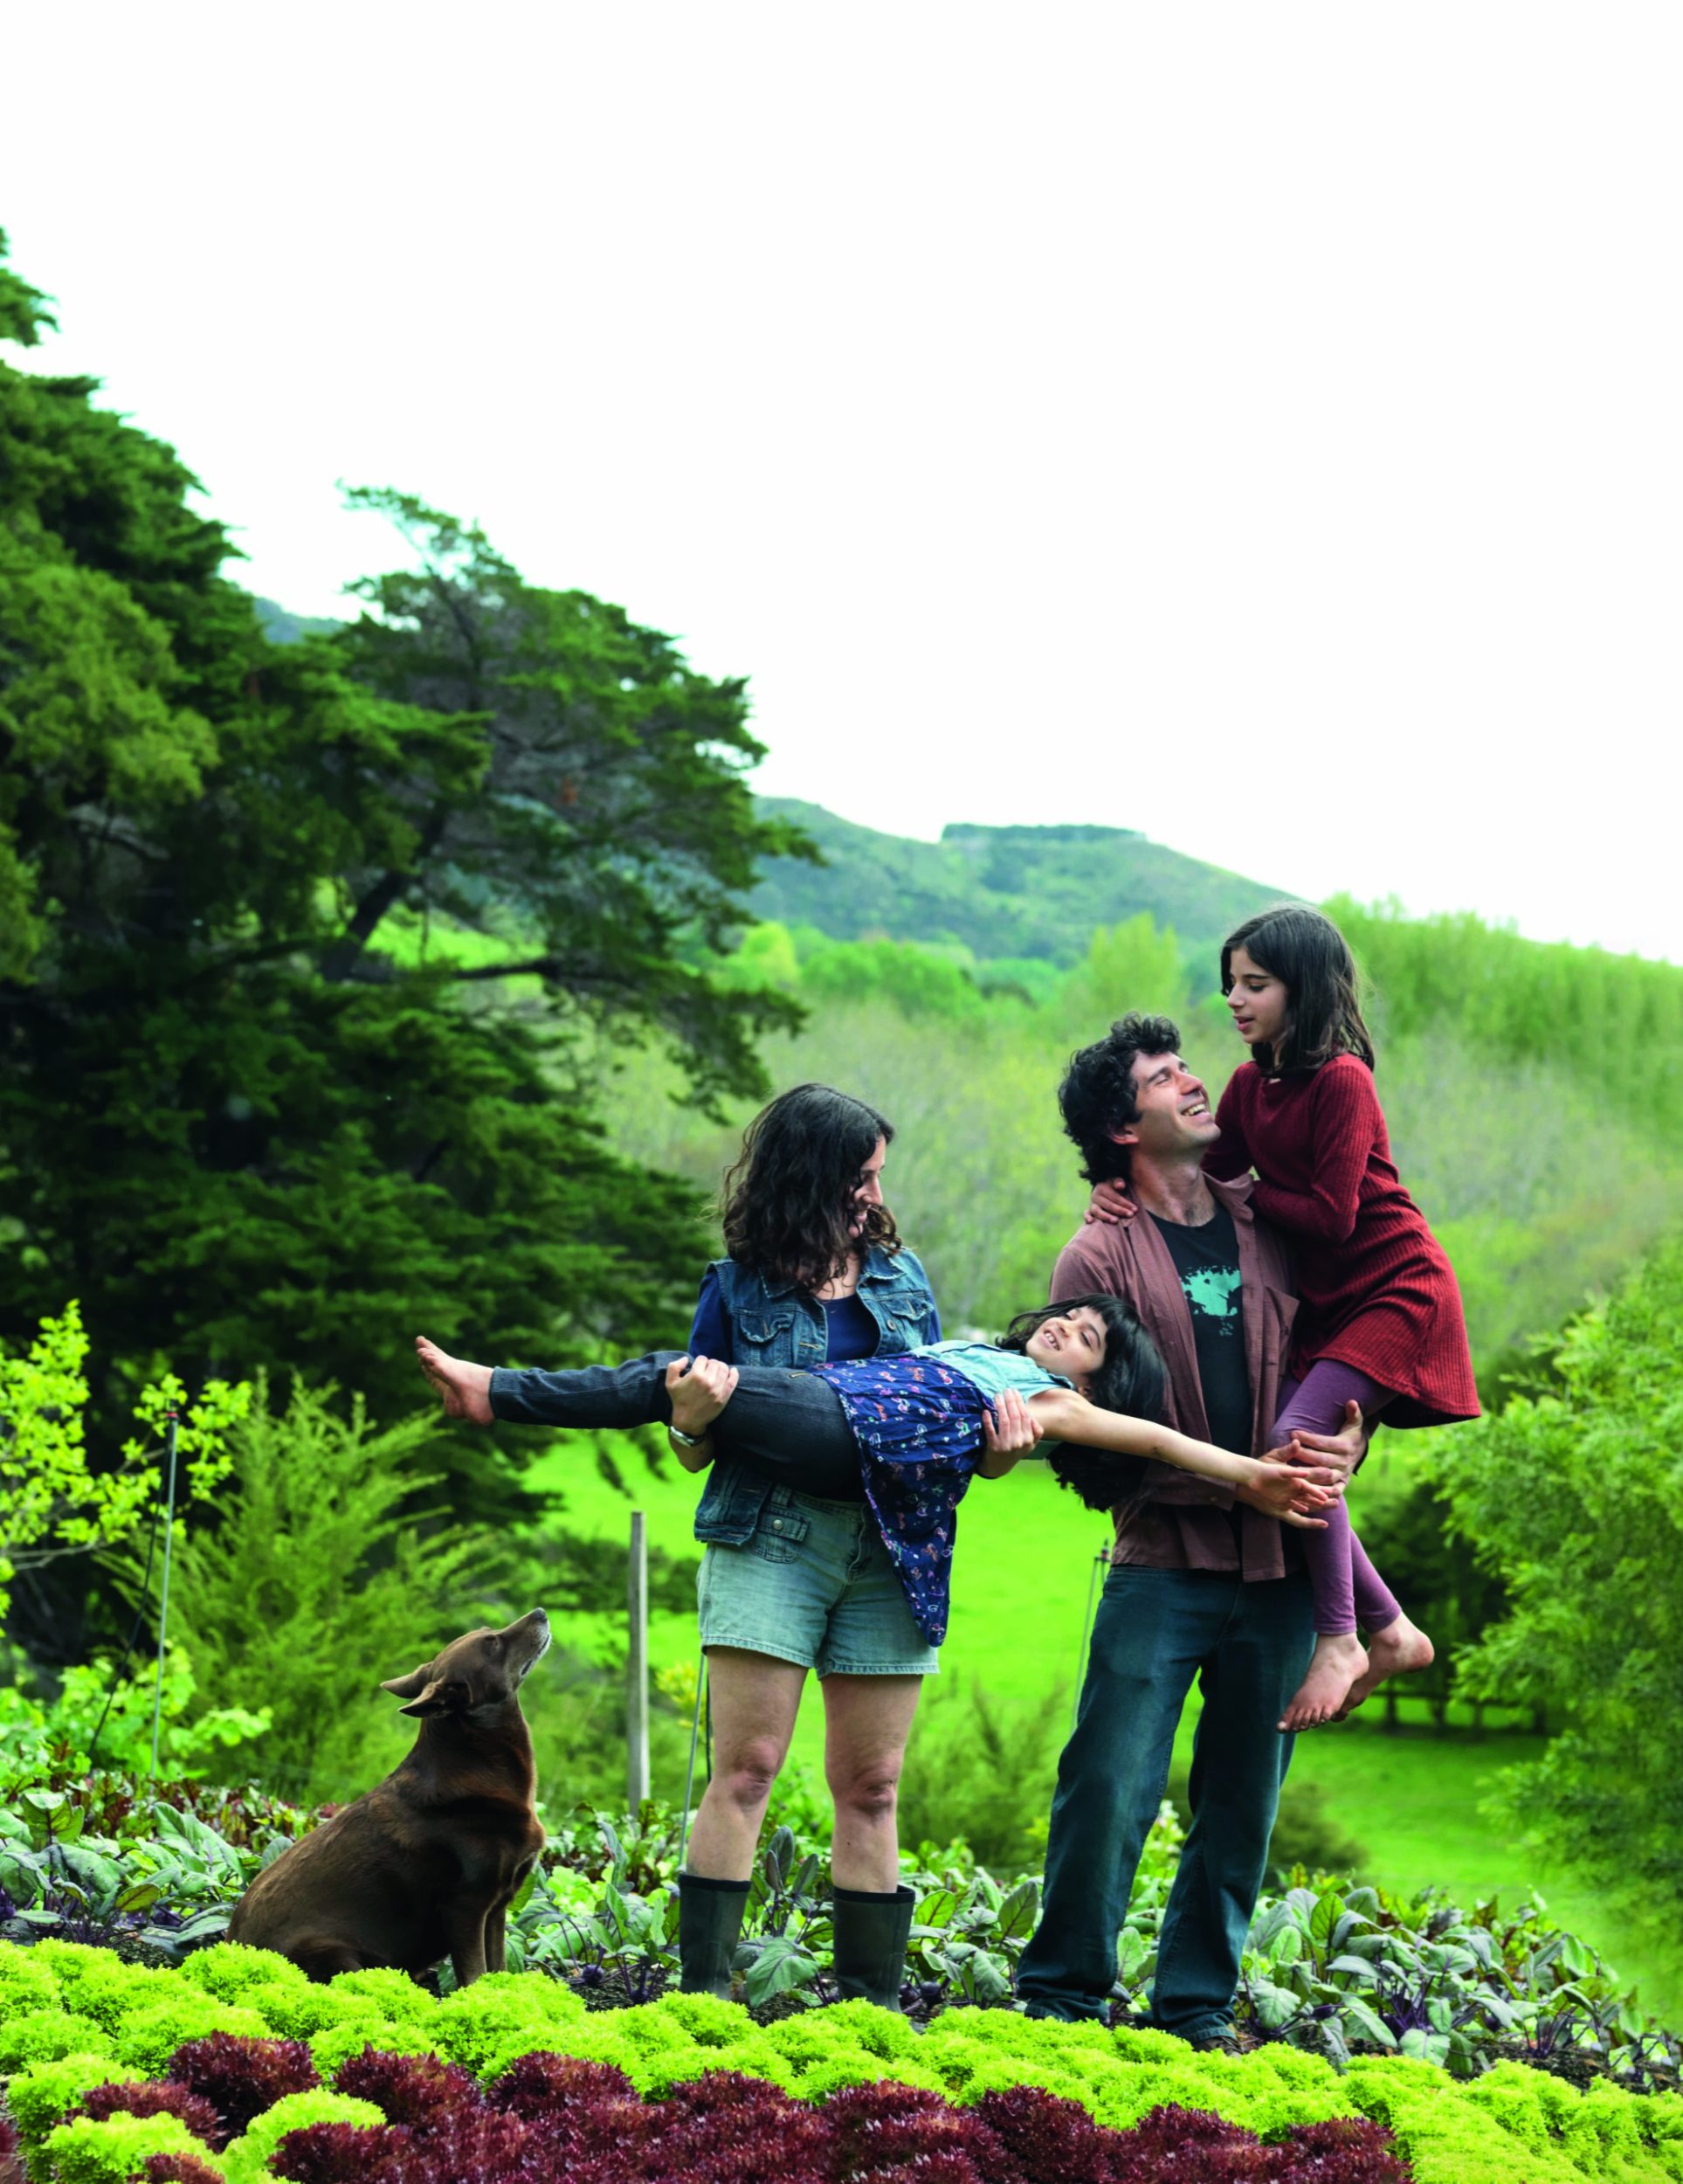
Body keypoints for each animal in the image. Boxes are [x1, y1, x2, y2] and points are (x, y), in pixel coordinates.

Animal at [224, 1607, 549, 1983]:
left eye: (488, 1631)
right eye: (492, 1643)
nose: (540, 1613)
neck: (477, 1761)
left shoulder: (496, 1909)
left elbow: (497, 1970)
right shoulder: (465, 1908)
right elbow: (475, 1975)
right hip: (336, 1954)